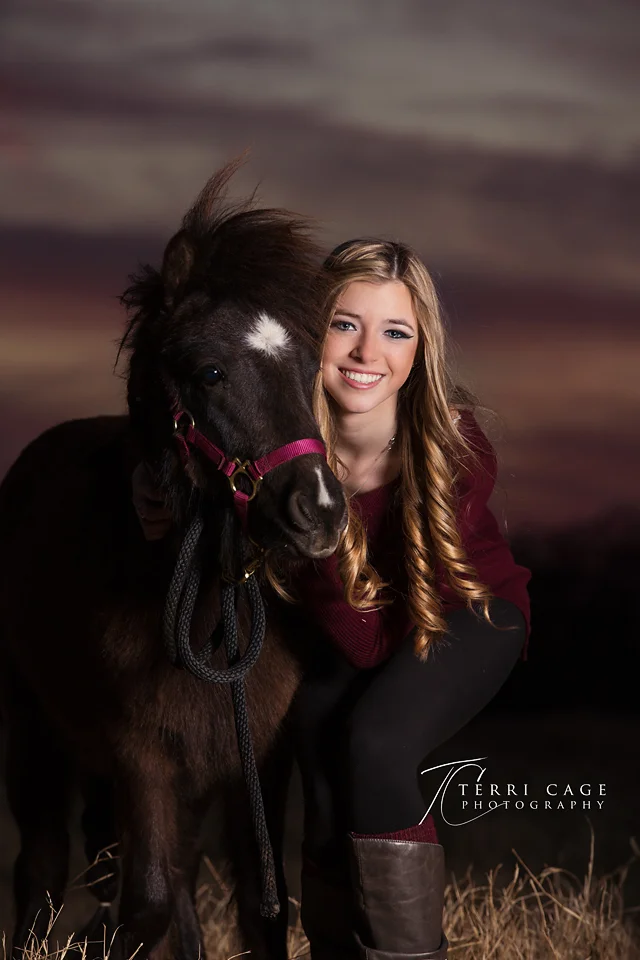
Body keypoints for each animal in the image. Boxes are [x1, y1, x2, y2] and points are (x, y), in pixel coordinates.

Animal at [0, 161, 347, 960]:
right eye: (210, 372)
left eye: (313, 367)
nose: (318, 511)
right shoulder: (141, 759)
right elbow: (147, 904)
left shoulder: (257, 757)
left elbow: (258, 904)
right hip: (34, 731)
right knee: (42, 865)